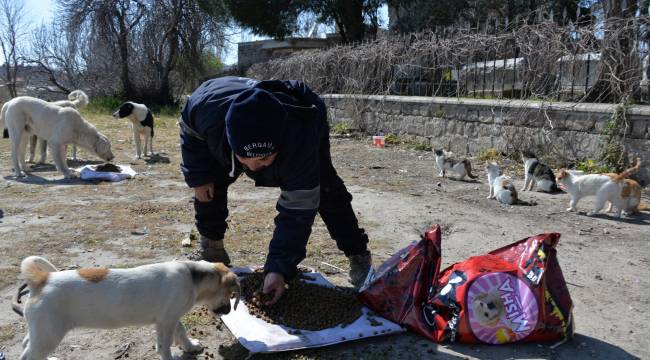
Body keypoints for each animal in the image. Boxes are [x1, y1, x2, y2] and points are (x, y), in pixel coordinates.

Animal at [16, 256, 239, 360]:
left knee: (27, 343)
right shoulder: (166, 322)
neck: (192, 277)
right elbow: (165, 346)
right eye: (230, 294)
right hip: (49, 335)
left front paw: (190, 346)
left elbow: (181, 332)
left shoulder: (170, 318)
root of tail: (42, 279)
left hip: (41, 331)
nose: (228, 312)